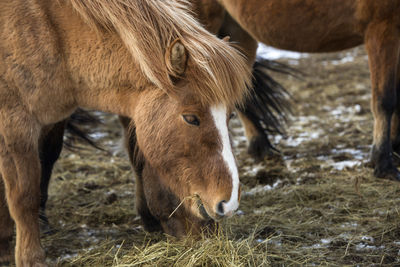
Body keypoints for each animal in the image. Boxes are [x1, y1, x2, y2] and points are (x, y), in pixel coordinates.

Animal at [0, 0, 252, 266]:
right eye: (191, 118)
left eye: (230, 116)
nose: (229, 202)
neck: (47, 29)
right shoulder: (15, 125)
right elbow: (24, 197)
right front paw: (30, 258)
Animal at [194, 0, 400, 181]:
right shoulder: (383, 29)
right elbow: (384, 100)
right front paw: (383, 164)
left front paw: (395, 149)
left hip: (238, 32)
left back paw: (261, 147)